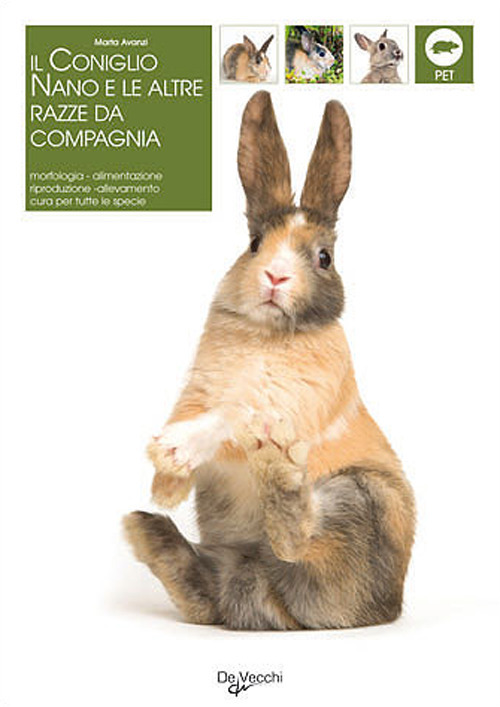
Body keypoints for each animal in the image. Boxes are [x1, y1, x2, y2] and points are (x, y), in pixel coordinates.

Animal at [123, 91, 416, 631]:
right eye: (254, 243)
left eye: (324, 258)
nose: (276, 277)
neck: (267, 333)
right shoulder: (197, 391)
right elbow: (197, 416)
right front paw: (165, 485)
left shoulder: (281, 405)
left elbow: (229, 422)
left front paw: (174, 449)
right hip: (234, 556)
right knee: (211, 594)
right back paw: (147, 529)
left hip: (364, 498)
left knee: (299, 540)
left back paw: (281, 472)